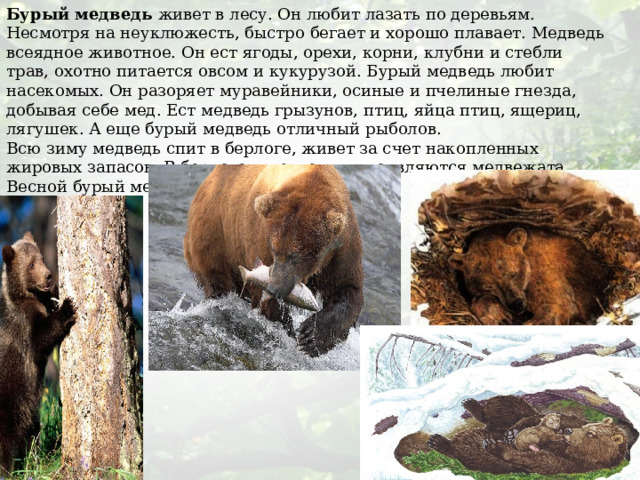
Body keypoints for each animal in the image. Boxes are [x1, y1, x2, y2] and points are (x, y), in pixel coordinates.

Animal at [0, 232, 76, 473]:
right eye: (31, 264)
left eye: (41, 258)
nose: (49, 275)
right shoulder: (22, 323)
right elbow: (41, 339)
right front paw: (68, 308)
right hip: (11, 396)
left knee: (31, 430)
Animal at [183, 165, 364, 356]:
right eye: (275, 249)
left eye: (296, 256)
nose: (274, 288)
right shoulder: (260, 238)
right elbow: (266, 300)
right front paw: (290, 329)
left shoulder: (342, 249)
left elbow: (347, 289)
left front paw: (312, 337)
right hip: (215, 234)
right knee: (216, 278)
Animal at [448, 226, 610, 325]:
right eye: (488, 285)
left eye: (513, 273)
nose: (516, 303)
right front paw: (500, 317)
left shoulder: (543, 272)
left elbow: (561, 304)